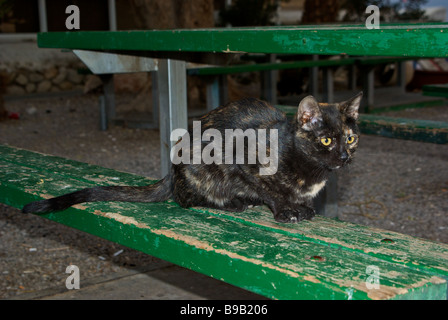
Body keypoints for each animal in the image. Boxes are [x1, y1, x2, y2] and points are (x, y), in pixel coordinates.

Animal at [22, 92, 362, 222]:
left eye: (350, 138)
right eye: (326, 140)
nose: (344, 156)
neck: (311, 172)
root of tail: (171, 173)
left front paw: (302, 207)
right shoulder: (241, 159)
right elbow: (269, 190)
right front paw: (285, 210)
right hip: (201, 167)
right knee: (185, 198)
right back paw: (233, 202)